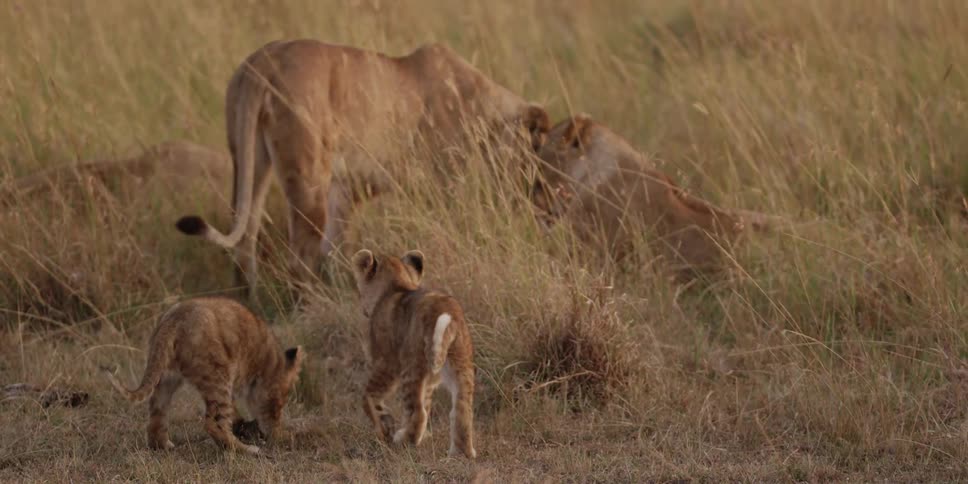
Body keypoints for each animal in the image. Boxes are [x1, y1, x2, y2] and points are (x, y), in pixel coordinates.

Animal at [103, 297, 305, 455]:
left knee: (156, 414)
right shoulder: (267, 391)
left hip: (166, 378)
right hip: (218, 375)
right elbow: (270, 416)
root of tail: (174, 320)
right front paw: (280, 435)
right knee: (213, 423)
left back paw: (163, 446)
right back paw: (246, 450)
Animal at [175, 39, 550, 302]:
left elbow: (337, 248)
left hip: (250, 159)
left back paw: (247, 308)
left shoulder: (346, 189)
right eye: (534, 153)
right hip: (307, 174)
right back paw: (309, 310)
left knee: (244, 240)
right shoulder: (443, 182)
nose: (534, 197)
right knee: (299, 259)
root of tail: (264, 62)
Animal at [351, 249, 477, 459]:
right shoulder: (428, 382)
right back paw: (461, 454)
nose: (361, 308)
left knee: (418, 412)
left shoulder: (386, 364)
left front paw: (384, 427)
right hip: (461, 364)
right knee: (461, 409)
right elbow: (425, 401)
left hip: (412, 366)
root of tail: (445, 312)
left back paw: (403, 440)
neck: (396, 285)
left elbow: (368, 396)